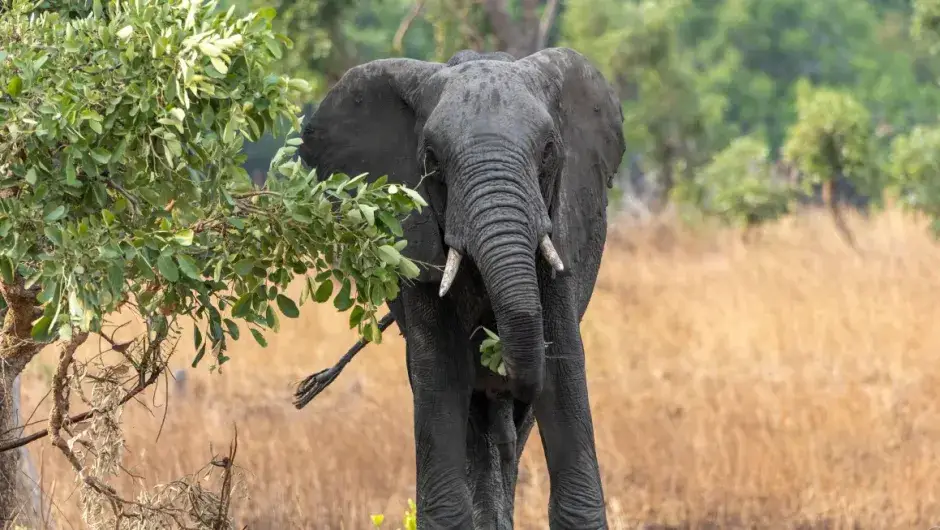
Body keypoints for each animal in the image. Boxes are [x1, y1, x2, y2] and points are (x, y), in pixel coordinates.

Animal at [297, 47, 626, 529]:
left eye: (549, 152)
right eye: (432, 159)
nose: (500, 365)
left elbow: (563, 365)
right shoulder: (415, 243)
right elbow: (442, 375)